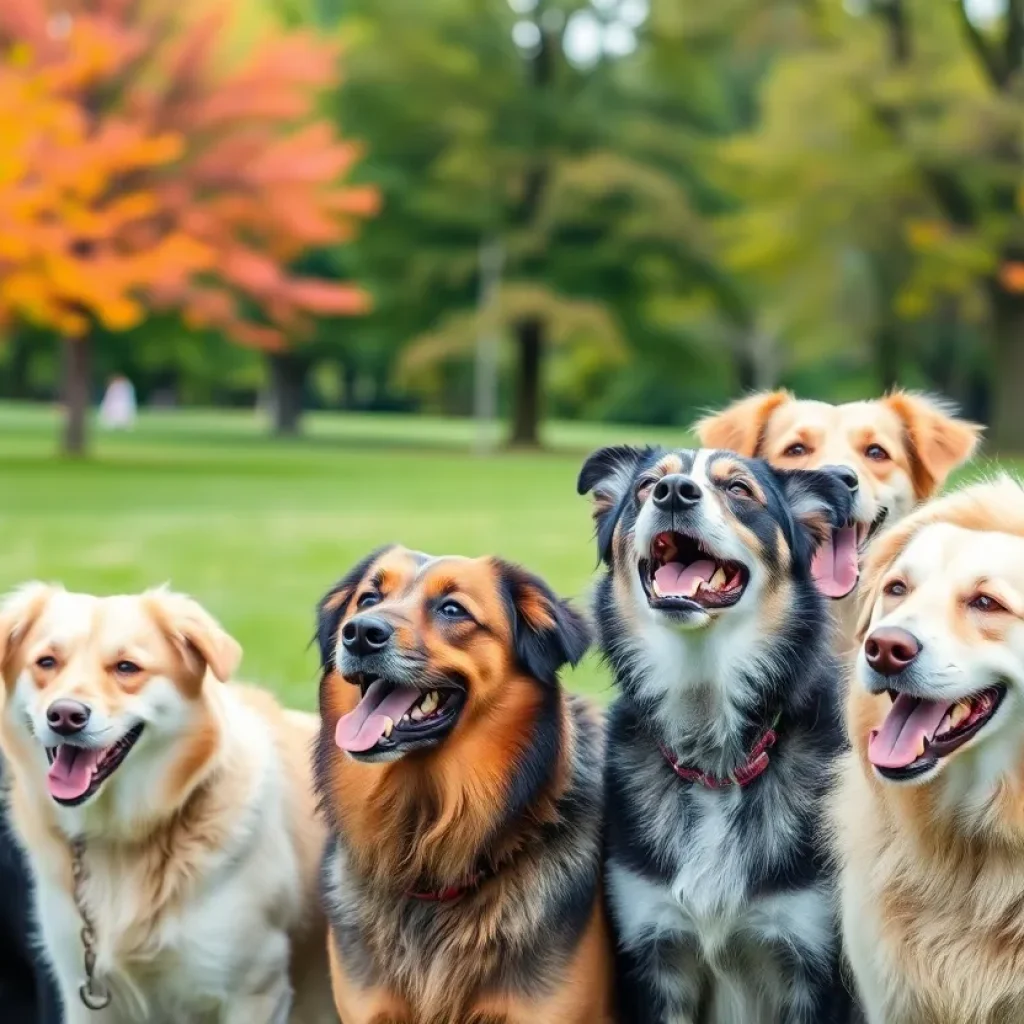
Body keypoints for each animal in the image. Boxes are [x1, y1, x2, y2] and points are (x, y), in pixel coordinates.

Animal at [0, 585, 335, 1024]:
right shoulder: (82, 993)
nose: (65, 716)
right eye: (47, 662)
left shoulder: (255, 991)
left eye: (126, 668)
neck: (121, 840)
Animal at [581, 446, 860, 1024]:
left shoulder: (815, 966)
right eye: (647, 485)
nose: (673, 494)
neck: (715, 765)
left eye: (738, 489)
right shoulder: (655, 955)